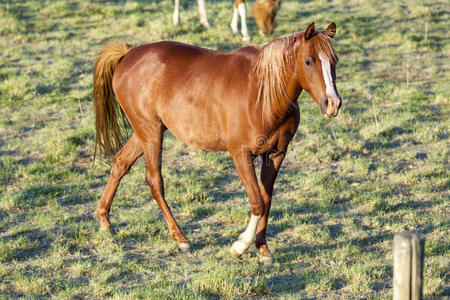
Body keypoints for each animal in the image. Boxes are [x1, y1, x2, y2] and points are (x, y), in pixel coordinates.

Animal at [94, 22, 342, 262]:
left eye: (334, 61)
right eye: (308, 61)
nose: (333, 103)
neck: (264, 93)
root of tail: (129, 53)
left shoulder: (276, 154)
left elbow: (267, 201)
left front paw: (263, 250)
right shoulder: (241, 154)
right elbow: (258, 202)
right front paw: (240, 246)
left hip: (146, 132)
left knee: (121, 162)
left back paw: (105, 220)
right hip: (151, 132)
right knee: (154, 181)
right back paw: (180, 238)